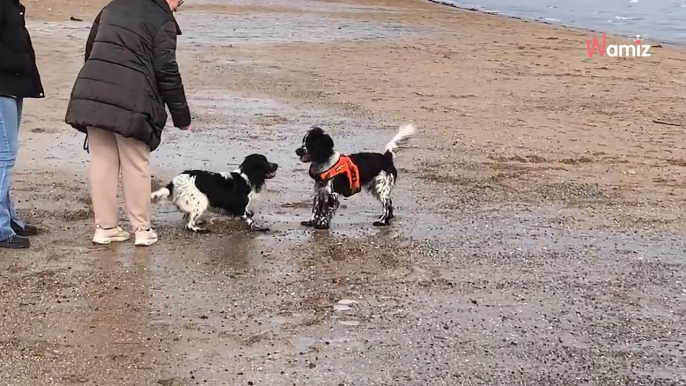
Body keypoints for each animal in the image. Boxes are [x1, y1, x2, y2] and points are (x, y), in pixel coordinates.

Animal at [151, 154, 280, 232]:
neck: (245, 177)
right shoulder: (240, 208)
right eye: (265, 161)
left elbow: (249, 214)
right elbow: (250, 219)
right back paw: (200, 229)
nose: (277, 165)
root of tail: (173, 182)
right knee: (189, 225)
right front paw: (259, 227)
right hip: (201, 202)